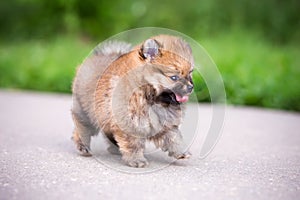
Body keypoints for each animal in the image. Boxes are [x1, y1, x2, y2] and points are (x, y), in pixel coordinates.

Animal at [72, 34, 195, 167]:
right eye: (174, 77)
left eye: (190, 74)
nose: (190, 87)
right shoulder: (130, 123)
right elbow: (133, 144)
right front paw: (136, 160)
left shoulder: (165, 124)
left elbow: (174, 138)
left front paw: (181, 152)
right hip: (85, 110)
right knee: (82, 127)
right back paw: (83, 147)